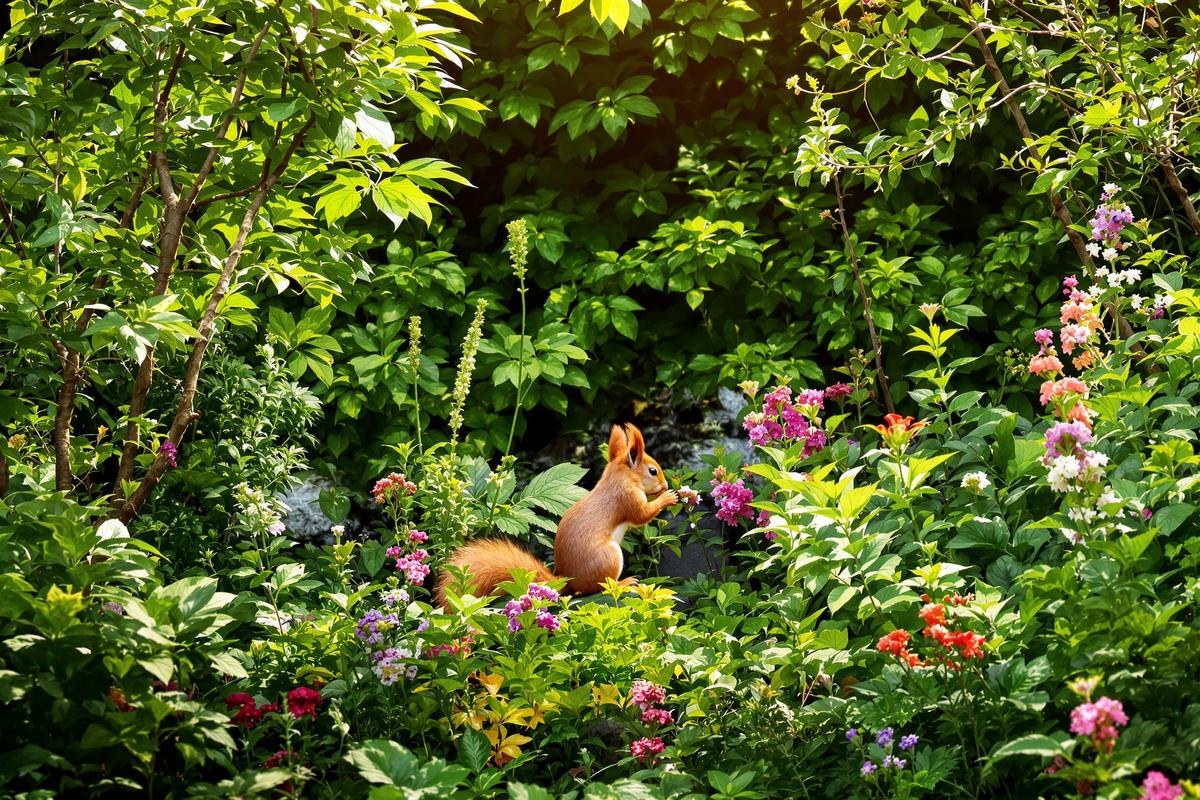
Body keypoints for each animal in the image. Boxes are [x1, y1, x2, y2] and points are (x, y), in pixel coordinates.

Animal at [434, 422, 679, 609]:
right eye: (653, 471)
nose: (665, 485)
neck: (620, 476)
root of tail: (568, 581)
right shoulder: (627, 496)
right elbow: (641, 516)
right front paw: (668, 497)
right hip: (609, 557)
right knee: (597, 588)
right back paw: (624, 582)